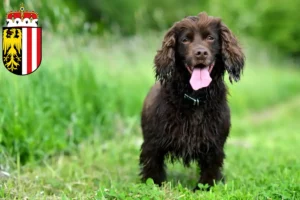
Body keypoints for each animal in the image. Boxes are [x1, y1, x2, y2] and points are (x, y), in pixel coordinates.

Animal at [139, 11, 245, 190]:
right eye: (185, 40)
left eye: (210, 38)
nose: (200, 53)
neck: (195, 97)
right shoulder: (152, 144)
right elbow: (153, 168)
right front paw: (155, 185)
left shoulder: (214, 145)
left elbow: (210, 169)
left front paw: (206, 187)